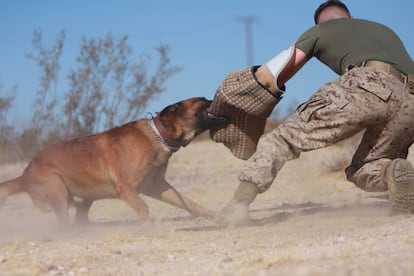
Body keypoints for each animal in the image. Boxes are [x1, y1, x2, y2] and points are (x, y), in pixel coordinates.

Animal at [0, 97, 226, 224]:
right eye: (203, 99)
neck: (158, 136)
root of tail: (24, 175)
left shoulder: (158, 187)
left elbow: (189, 203)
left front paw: (211, 214)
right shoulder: (126, 188)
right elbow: (143, 208)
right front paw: (146, 226)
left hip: (85, 196)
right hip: (58, 189)